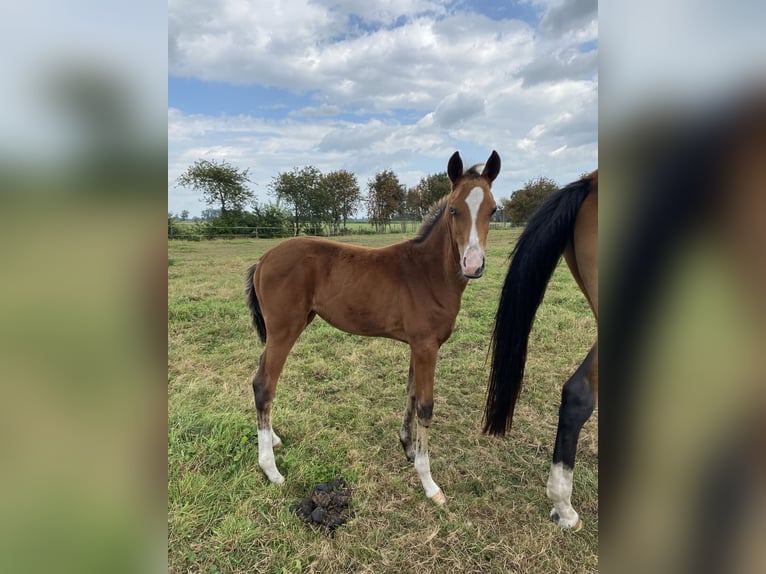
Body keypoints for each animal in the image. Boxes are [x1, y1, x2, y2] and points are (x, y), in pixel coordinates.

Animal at [243, 151, 500, 506]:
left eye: (493, 209)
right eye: (453, 209)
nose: (473, 265)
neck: (429, 273)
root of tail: (264, 259)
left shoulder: (418, 345)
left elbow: (410, 393)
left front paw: (408, 448)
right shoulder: (426, 346)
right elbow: (425, 405)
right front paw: (429, 483)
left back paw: (274, 439)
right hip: (284, 329)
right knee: (264, 384)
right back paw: (271, 470)